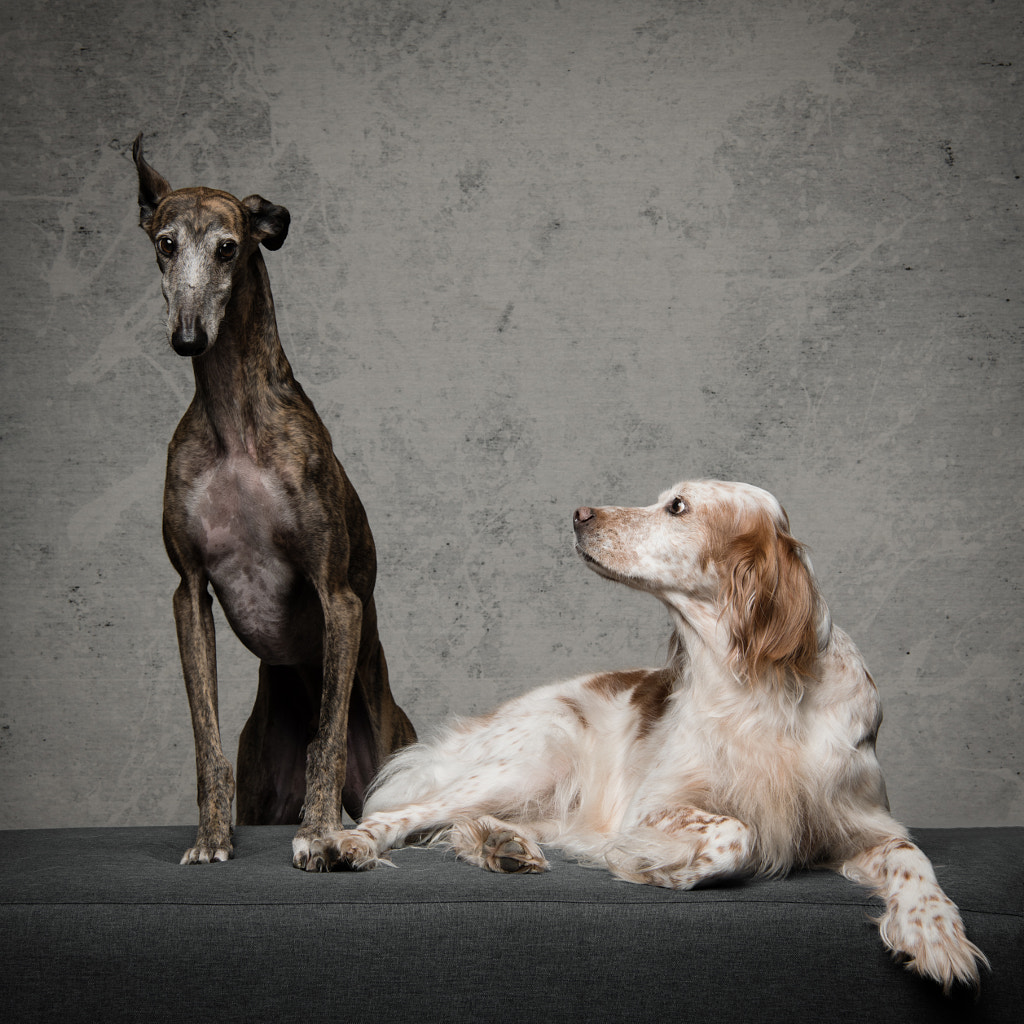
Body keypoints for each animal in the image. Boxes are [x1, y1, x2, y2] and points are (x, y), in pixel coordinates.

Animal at [313, 479, 991, 991]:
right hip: (534, 753)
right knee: (403, 812)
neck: (758, 688)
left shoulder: (861, 825)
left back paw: (501, 845)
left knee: (478, 825)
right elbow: (736, 833)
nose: (578, 513)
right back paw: (345, 843)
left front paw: (936, 933)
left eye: (679, 507)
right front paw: (655, 866)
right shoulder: (656, 805)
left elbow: (915, 861)